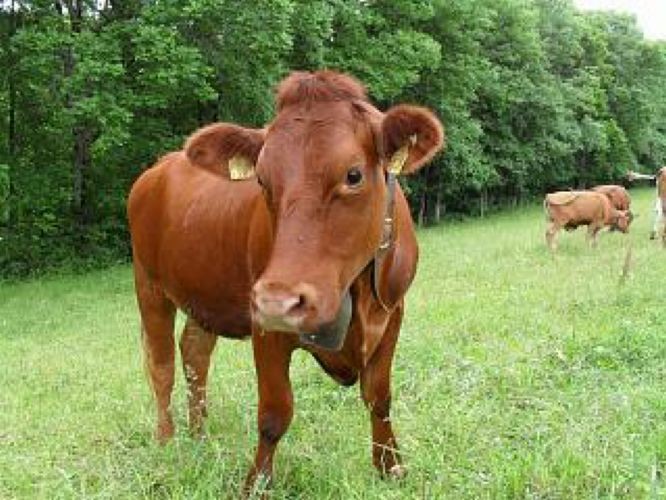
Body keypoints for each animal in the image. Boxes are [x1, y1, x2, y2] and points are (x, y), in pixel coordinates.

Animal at [127, 70, 444, 493]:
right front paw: (255, 485)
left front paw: (389, 466)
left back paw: (199, 436)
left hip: (203, 294)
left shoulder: (393, 312)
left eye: (353, 175)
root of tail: (162, 165)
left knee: (194, 353)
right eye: (262, 180)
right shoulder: (265, 325)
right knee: (162, 367)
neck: (354, 294)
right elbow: (274, 414)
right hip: (148, 285)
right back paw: (167, 441)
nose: (281, 300)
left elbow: (380, 396)